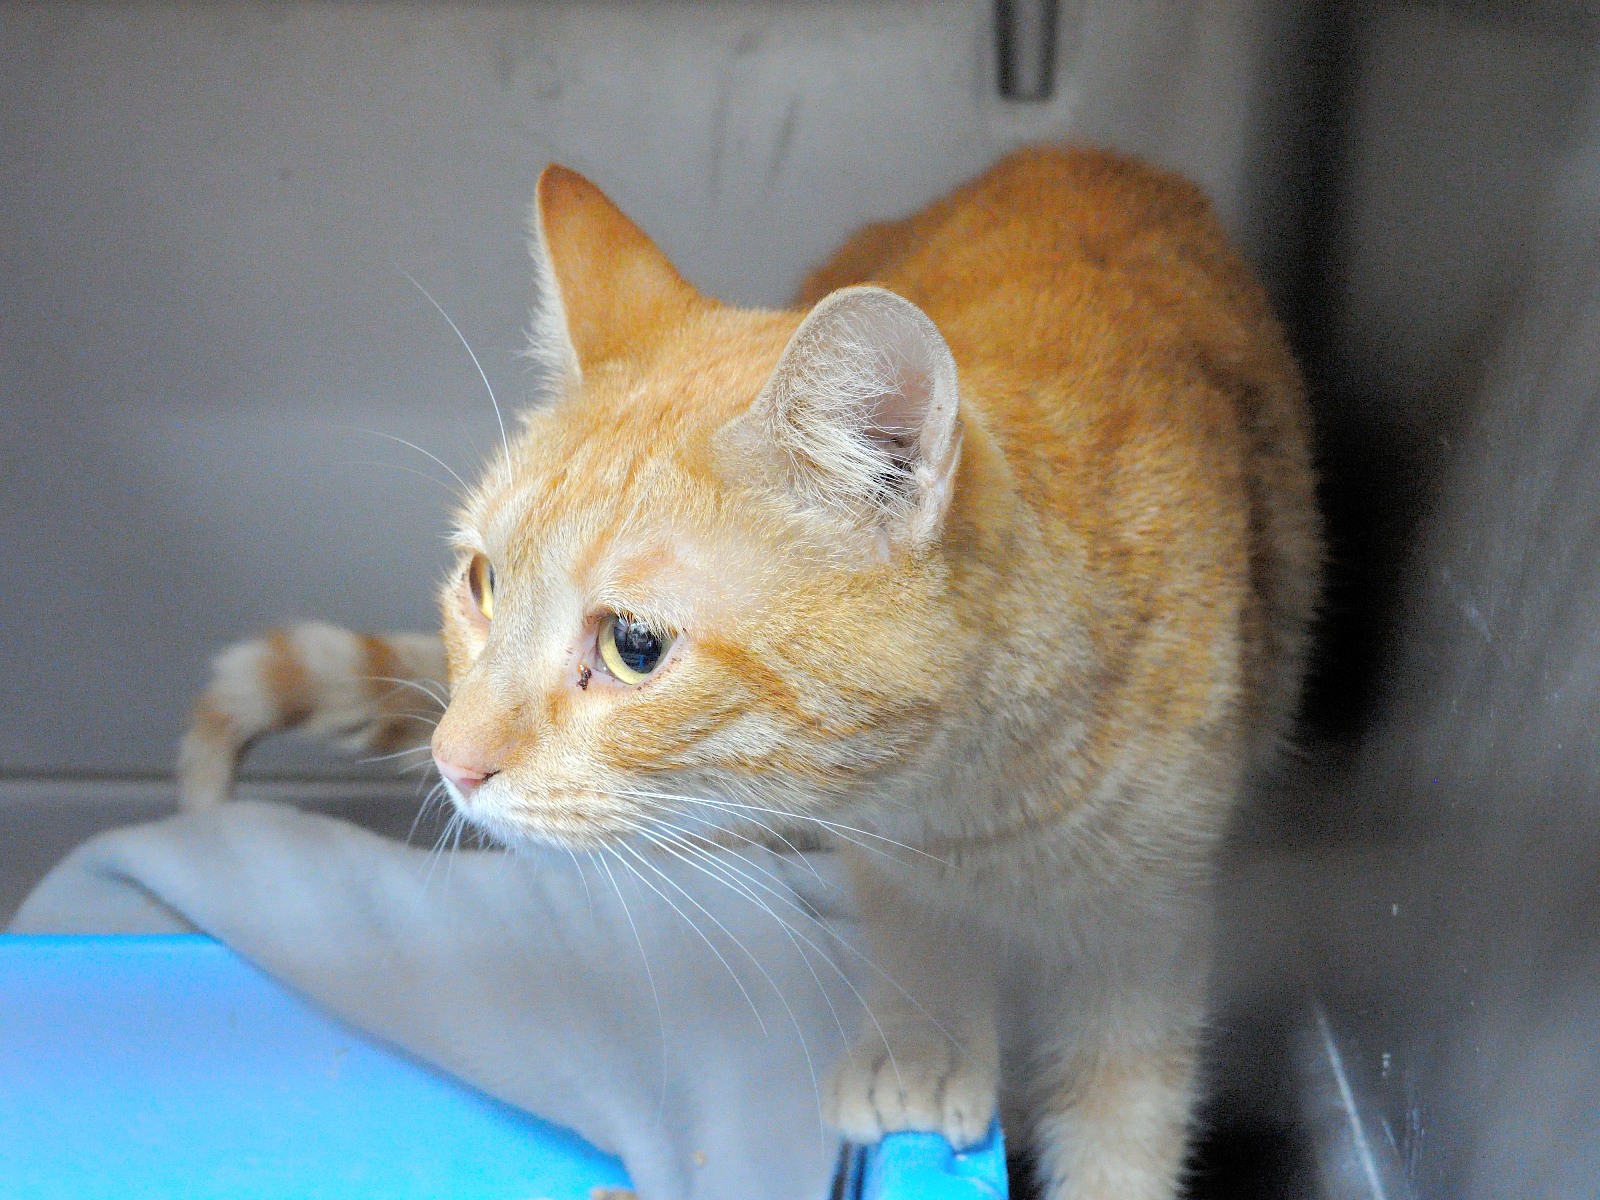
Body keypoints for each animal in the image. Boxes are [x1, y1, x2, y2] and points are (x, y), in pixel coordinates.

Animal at [179, 145, 1321, 1199]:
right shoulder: (886, 858)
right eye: (484, 582)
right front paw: (922, 1044)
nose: (452, 758)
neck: (969, 807)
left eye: (633, 648)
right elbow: (919, 941)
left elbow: (1125, 1120)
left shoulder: (1150, 926)